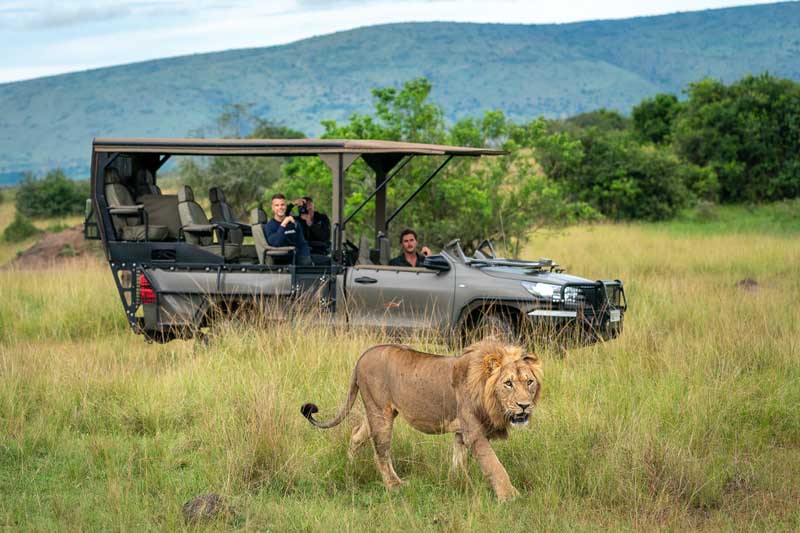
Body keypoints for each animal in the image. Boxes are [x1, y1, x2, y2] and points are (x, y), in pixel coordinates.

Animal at [302, 336, 544, 498]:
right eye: (508, 383)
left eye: (529, 382)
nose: (524, 406)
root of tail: (363, 355)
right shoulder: (474, 432)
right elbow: (494, 466)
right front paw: (510, 496)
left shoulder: (460, 431)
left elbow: (459, 461)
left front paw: (459, 484)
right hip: (381, 413)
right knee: (380, 454)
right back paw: (395, 486)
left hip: (376, 411)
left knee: (356, 435)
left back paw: (351, 466)